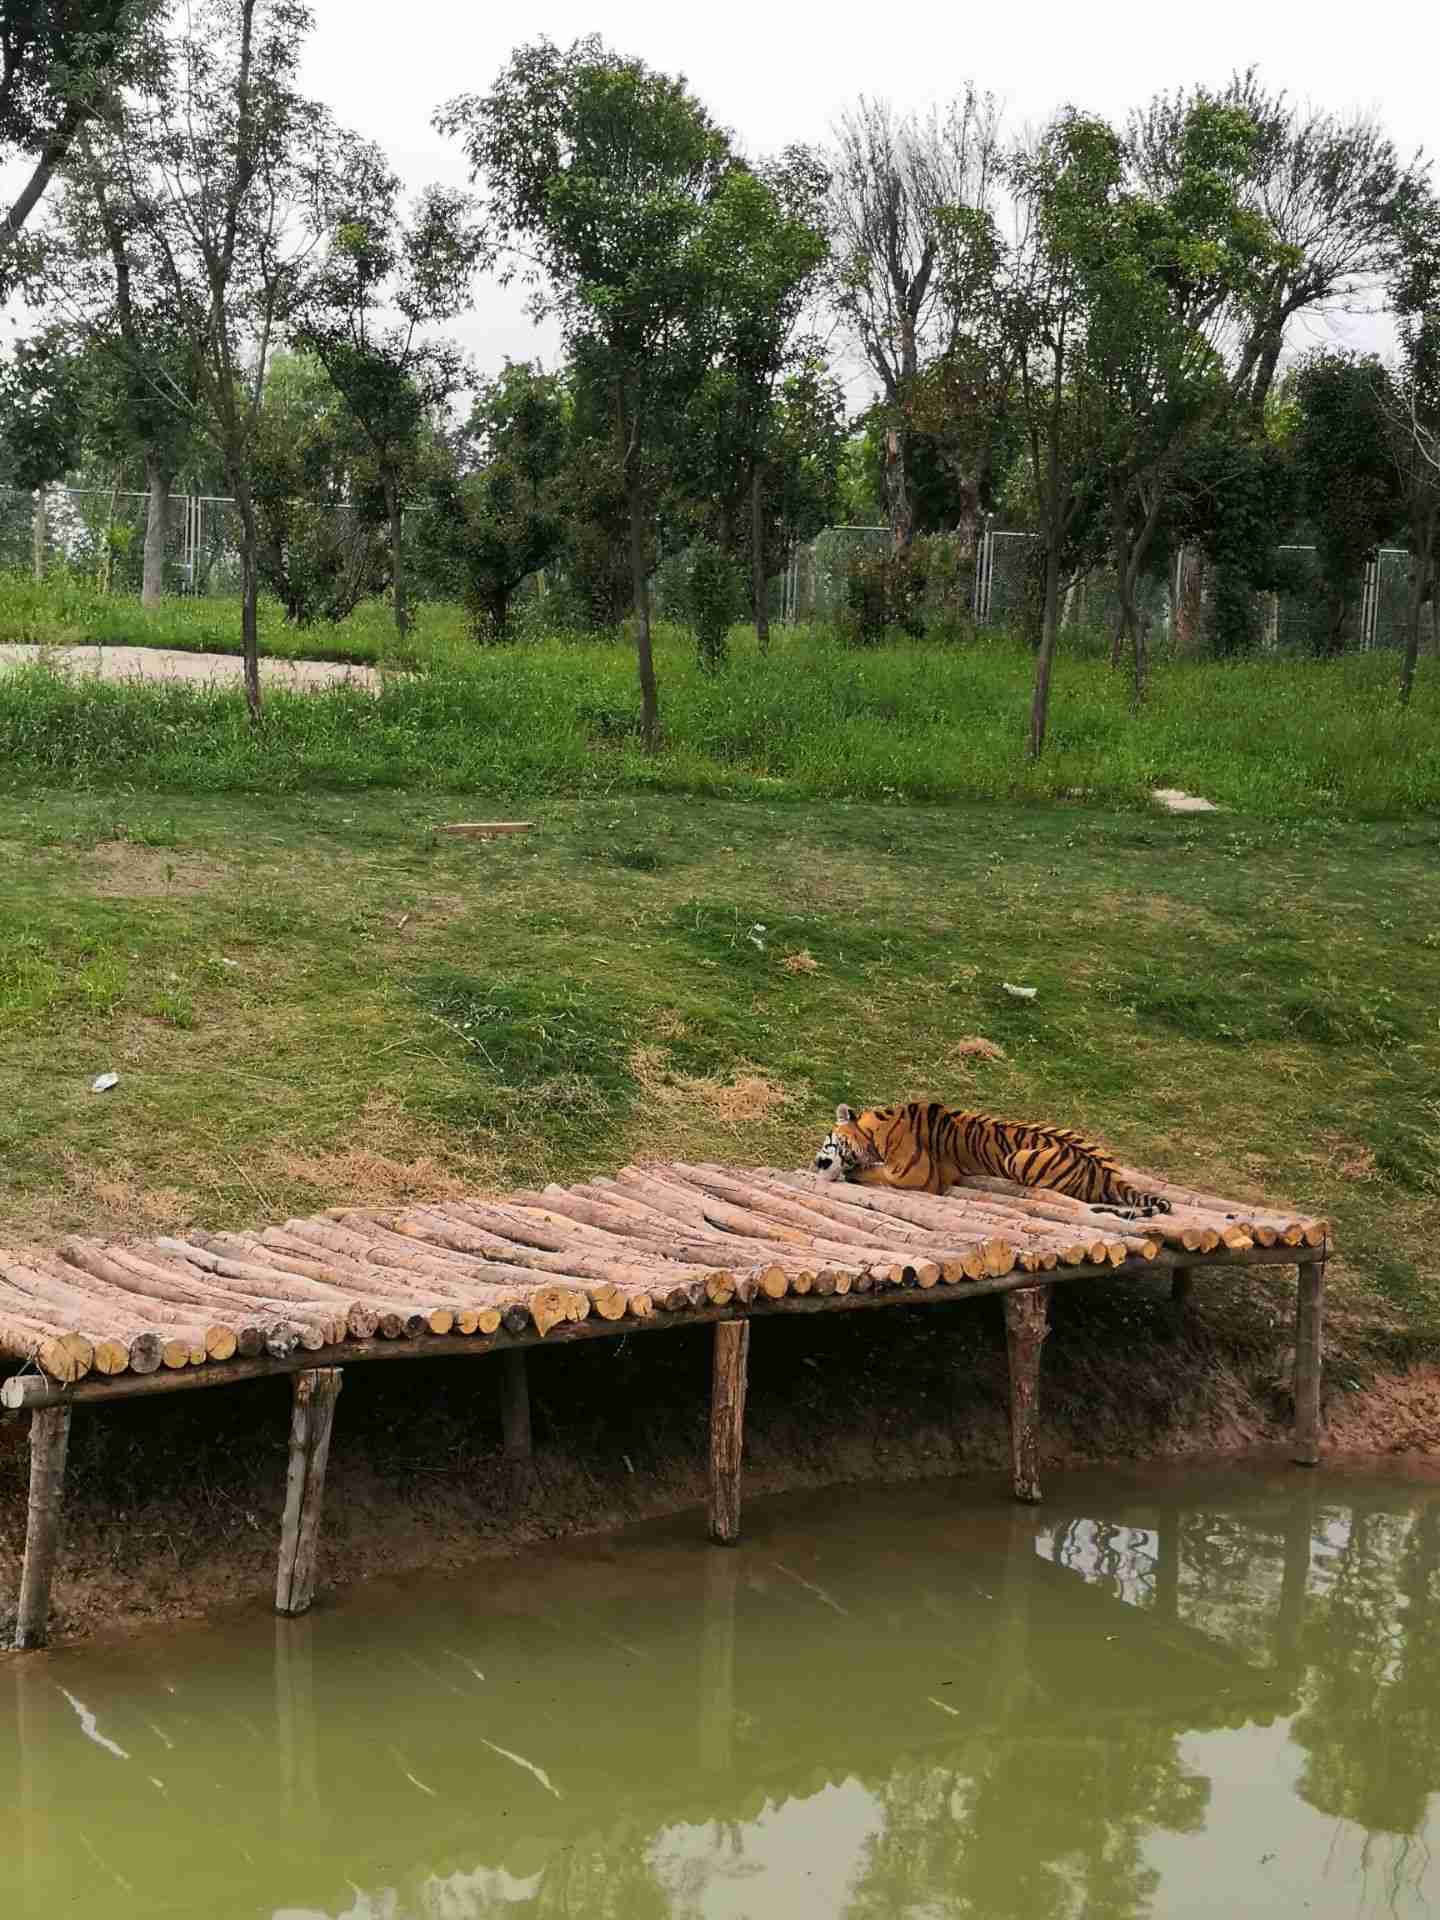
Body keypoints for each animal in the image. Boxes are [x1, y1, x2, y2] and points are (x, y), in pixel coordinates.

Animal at [814, 1098, 1175, 1213]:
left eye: (828, 1140)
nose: (817, 1161)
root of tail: (1109, 1174)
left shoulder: (916, 1176)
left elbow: (867, 1172)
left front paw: (850, 1172)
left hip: (1017, 1160)